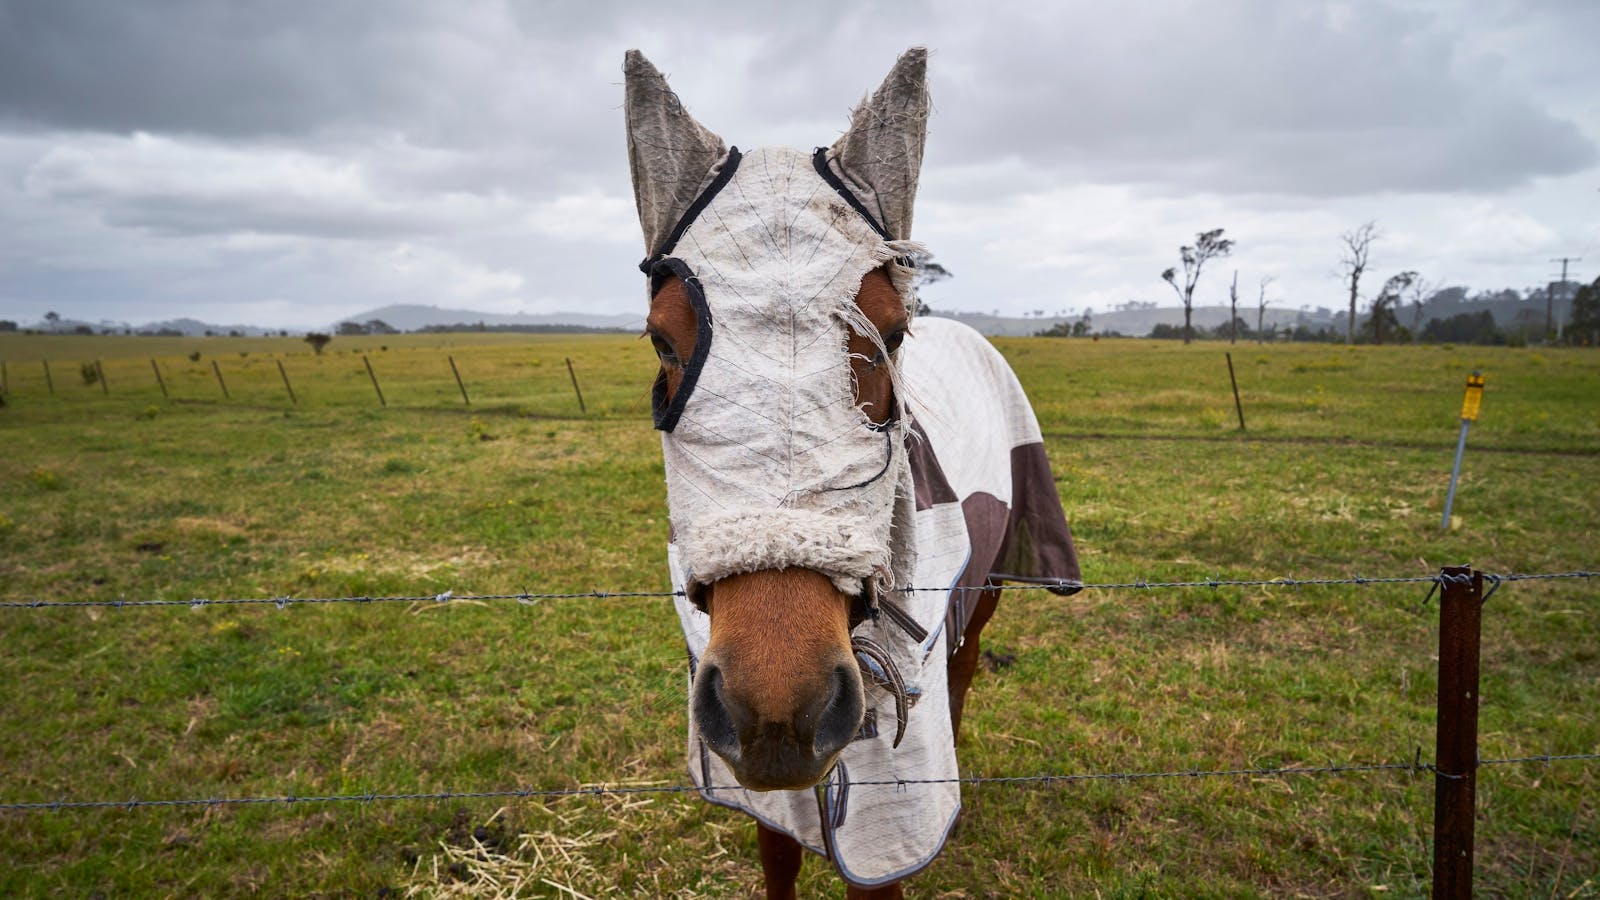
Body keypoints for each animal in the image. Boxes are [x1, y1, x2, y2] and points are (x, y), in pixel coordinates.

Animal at [617, 50, 1081, 896]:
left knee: (963, 673)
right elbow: (778, 861)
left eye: (889, 337)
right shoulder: (773, 799)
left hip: (988, 593)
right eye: (663, 342)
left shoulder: (886, 825)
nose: (778, 709)